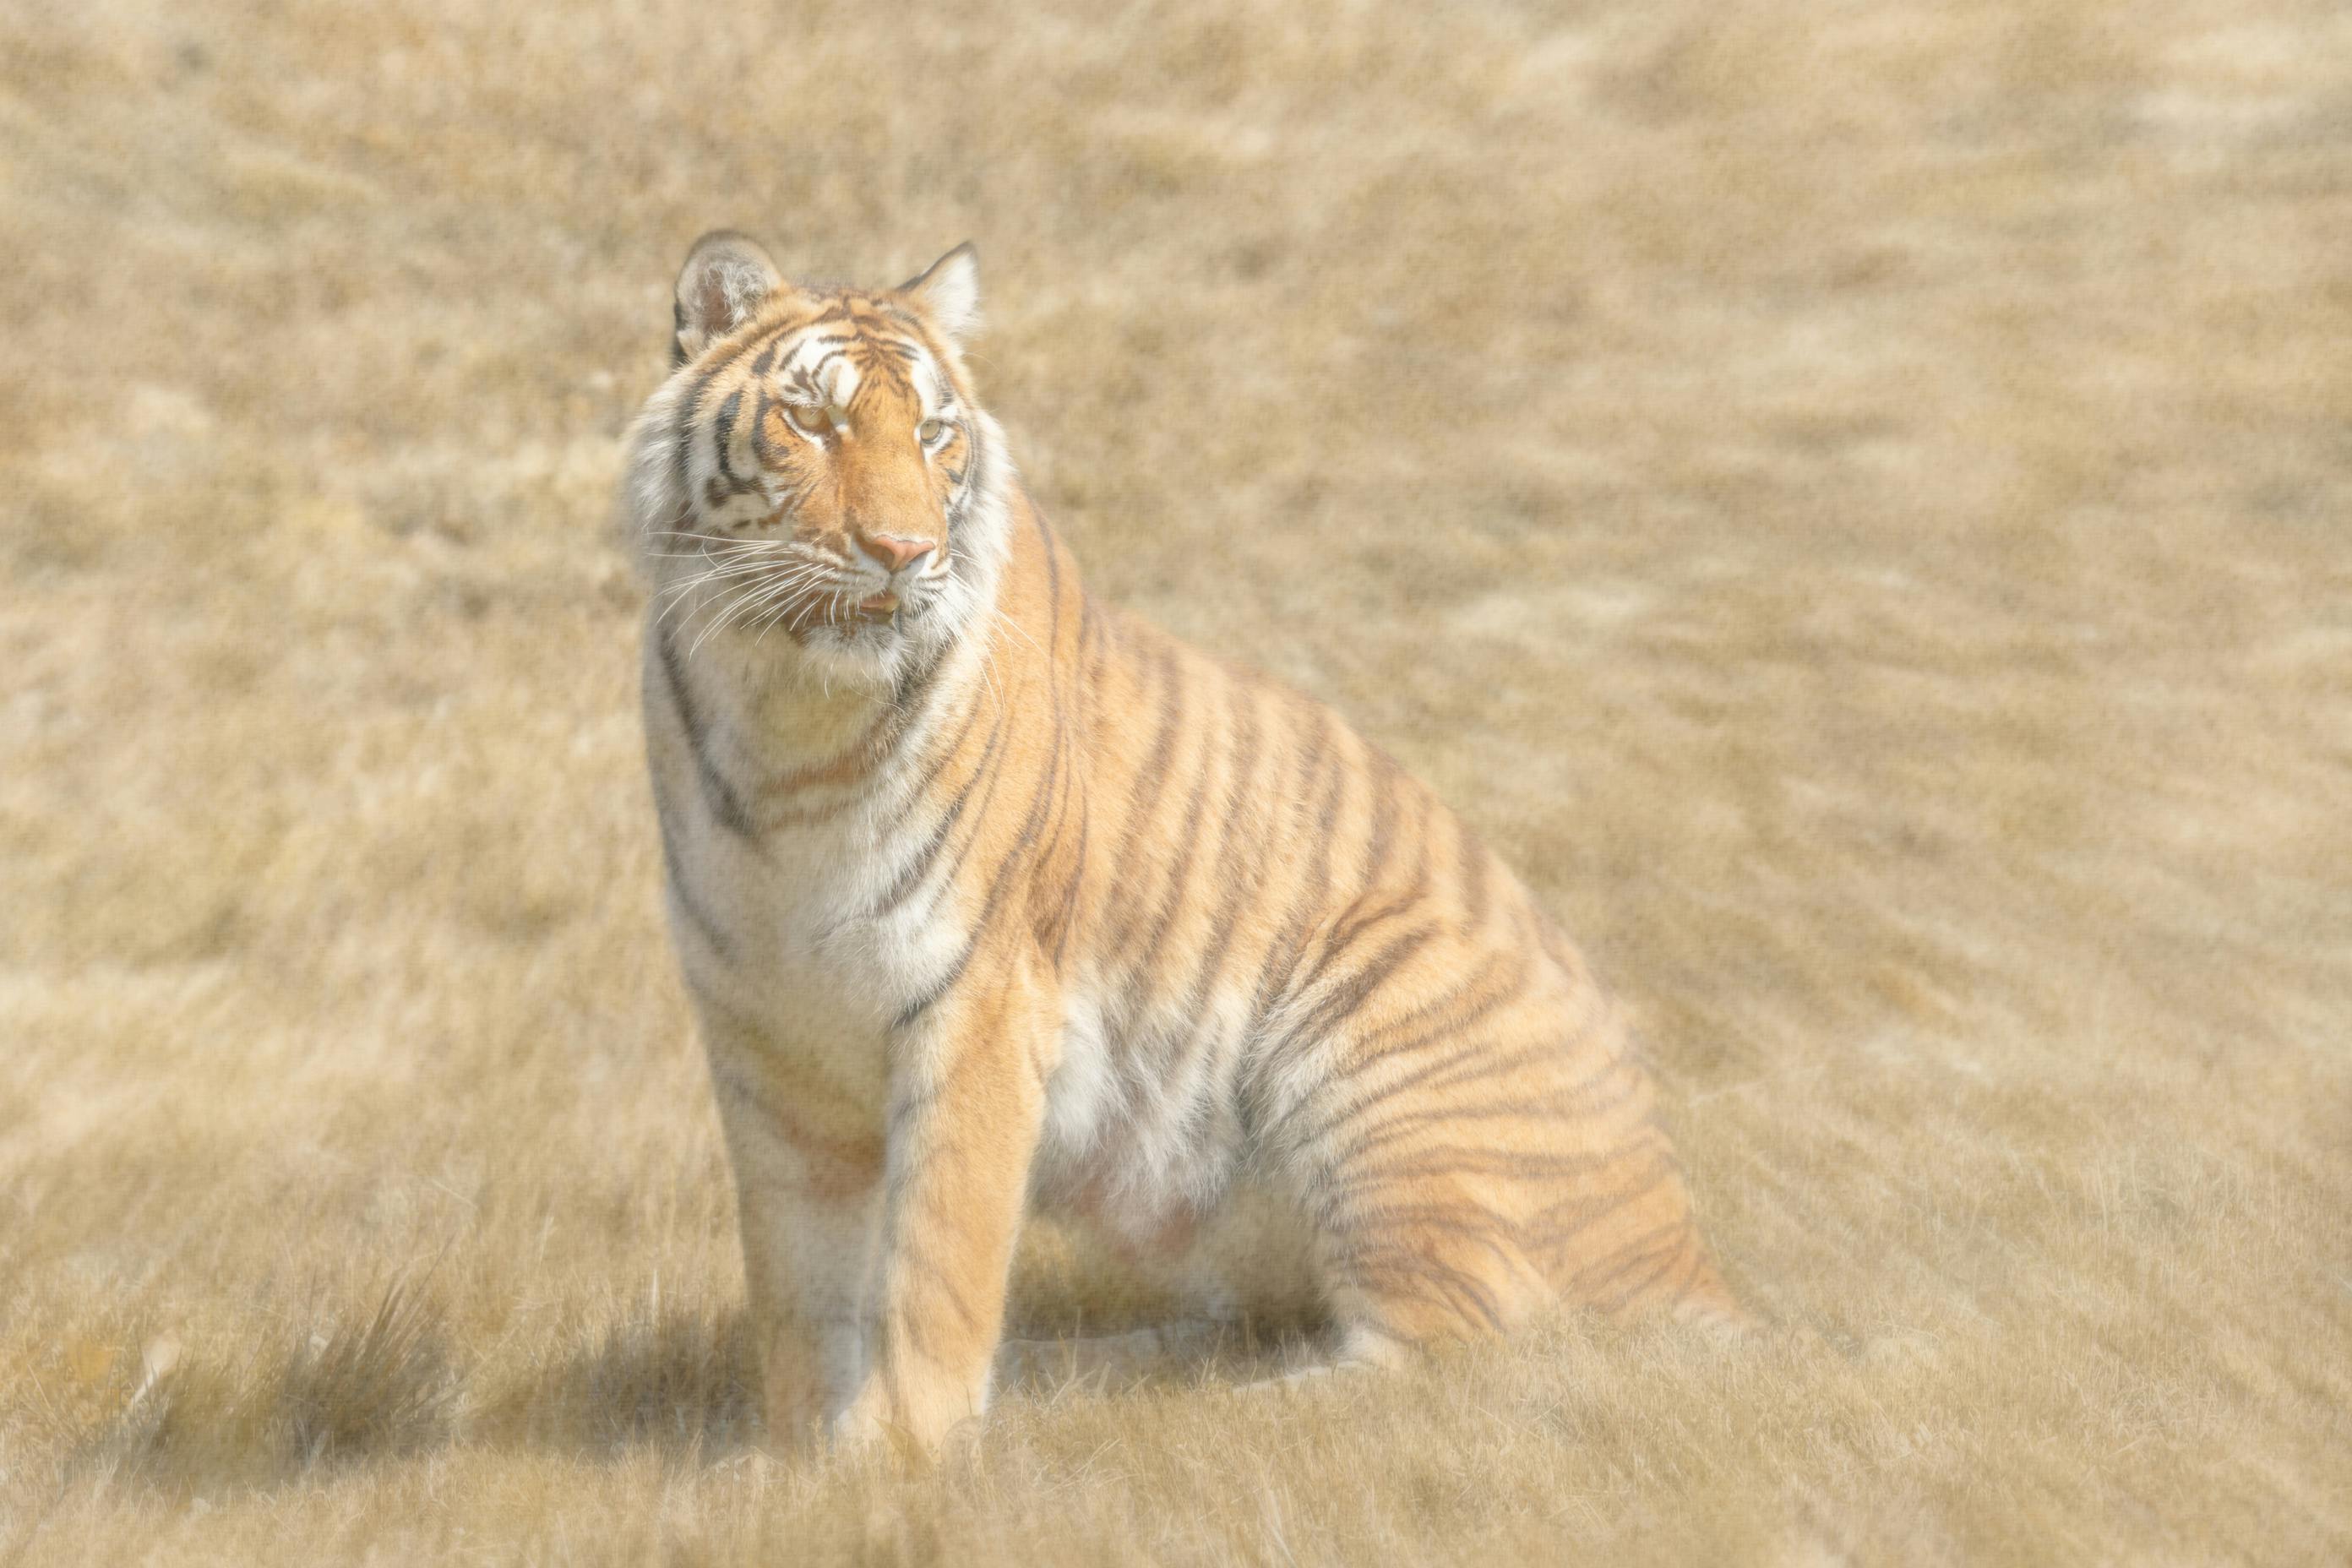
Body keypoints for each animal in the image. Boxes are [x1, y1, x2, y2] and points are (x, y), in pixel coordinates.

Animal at [625, 230, 1750, 1457]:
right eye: (813, 421)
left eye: (932, 433)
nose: (904, 550)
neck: (787, 723)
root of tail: (1689, 1254)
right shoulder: (764, 1034)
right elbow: (795, 1281)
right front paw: (787, 1455)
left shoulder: (978, 1003)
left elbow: (935, 1258)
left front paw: (894, 1452)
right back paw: (1071, 1374)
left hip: (1374, 1019)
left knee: (1444, 1356)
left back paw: (1176, 1420)